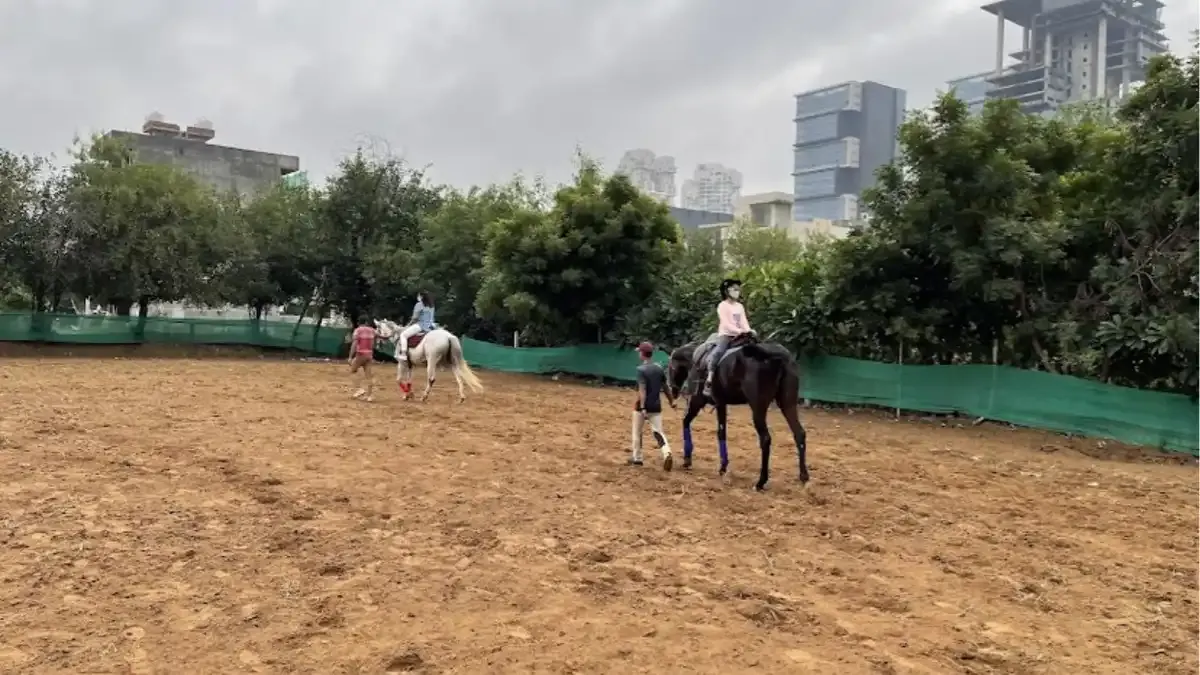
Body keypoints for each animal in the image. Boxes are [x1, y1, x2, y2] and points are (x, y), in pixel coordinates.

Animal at [666, 333, 809, 491]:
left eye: (669, 367)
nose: (673, 390)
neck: (696, 359)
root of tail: (777, 357)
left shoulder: (700, 401)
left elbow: (691, 422)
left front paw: (688, 459)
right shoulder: (721, 404)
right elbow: (721, 432)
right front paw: (722, 466)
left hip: (758, 408)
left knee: (765, 439)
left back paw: (761, 481)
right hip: (788, 404)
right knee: (799, 433)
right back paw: (803, 477)